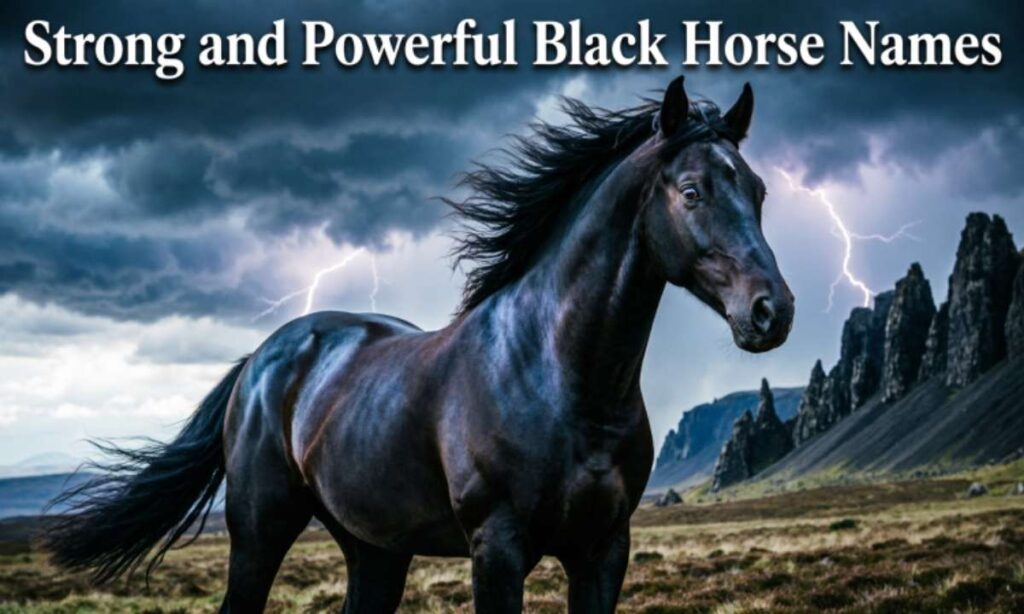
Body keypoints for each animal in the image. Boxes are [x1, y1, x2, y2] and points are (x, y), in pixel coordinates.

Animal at [46, 76, 794, 613]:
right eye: (692, 191)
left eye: (758, 191)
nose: (773, 311)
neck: (558, 377)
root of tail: (263, 359)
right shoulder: (497, 550)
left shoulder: (603, 549)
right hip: (258, 531)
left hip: (375, 550)